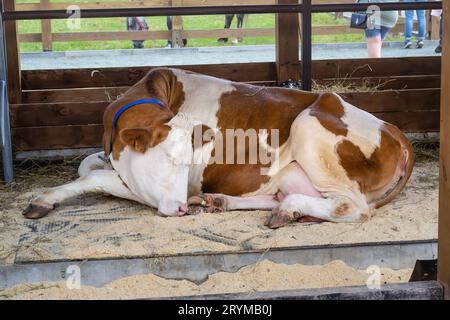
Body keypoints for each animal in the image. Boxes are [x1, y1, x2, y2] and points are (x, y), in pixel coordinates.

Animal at [22, 68, 414, 228]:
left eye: (184, 163)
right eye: (168, 159)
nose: (182, 207)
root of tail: (395, 130)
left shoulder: (158, 187)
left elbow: (93, 178)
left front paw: (44, 200)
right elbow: (86, 164)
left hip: (309, 126)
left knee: (353, 207)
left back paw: (288, 210)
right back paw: (227, 202)